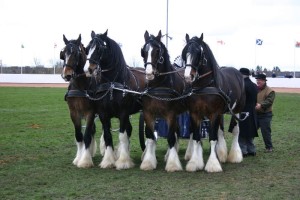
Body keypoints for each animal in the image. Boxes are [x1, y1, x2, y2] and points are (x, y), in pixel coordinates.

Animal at [60, 34, 98, 167]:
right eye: (63, 53)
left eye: (76, 53)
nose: (66, 75)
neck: (80, 86)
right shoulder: (74, 113)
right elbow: (79, 136)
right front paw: (79, 157)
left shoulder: (90, 113)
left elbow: (86, 136)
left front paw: (85, 160)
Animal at [84, 30, 146, 170]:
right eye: (87, 48)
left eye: (99, 48)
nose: (88, 69)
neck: (112, 84)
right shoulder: (103, 114)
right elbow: (108, 136)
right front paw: (108, 160)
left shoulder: (123, 113)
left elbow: (122, 135)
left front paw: (123, 161)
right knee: (129, 129)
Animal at [140, 30, 188, 172]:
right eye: (144, 51)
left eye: (157, 51)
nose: (149, 73)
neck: (159, 86)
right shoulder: (148, 113)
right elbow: (150, 137)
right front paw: (148, 162)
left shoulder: (170, 114)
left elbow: (171, 137)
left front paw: (173, 164)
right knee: (177, 131)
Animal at [182, 33, 245, 173]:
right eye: (185, 52)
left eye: (198, 52)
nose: (188, 76)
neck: (204, 86)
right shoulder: (195, 113)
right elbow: (196, 138)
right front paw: (195, 163)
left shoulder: (214, 113)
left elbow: (212, 138)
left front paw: (212, 164)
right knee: (220, 132)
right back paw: (222, 154)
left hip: (237, 110)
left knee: (236, 131)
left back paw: (235, 156)